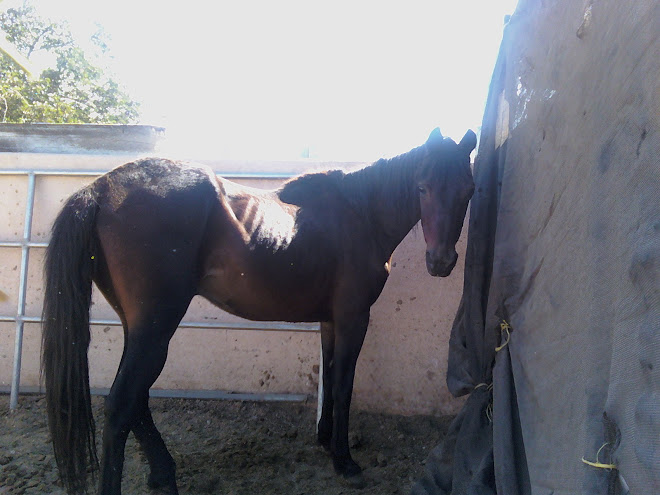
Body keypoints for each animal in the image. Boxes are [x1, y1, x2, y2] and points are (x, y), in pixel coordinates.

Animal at [41, 128, 476, 494]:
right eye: (422, 187)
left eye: (468, 190)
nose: (441, 261)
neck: (360, 213)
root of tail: (101, 189)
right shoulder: (354, 317)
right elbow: (343, 385)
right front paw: (344, 461)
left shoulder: (330, 320)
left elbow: (330, 374)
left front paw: (325, 441)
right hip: (155, 325)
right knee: (121, 405)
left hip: (139, 327)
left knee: (138, 400)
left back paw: (163, 474)